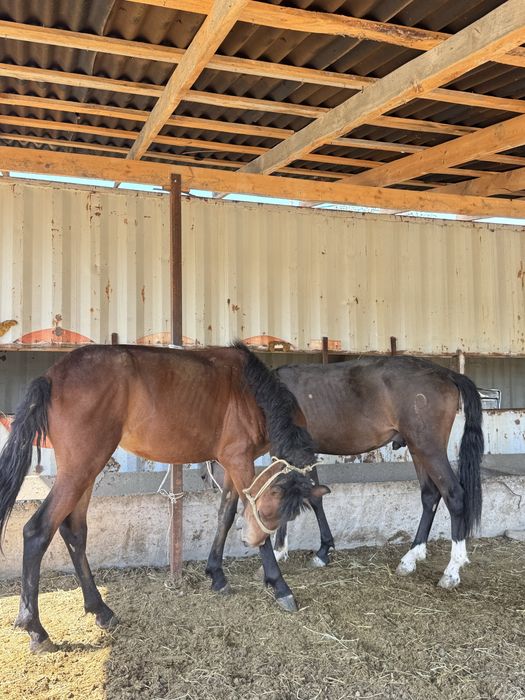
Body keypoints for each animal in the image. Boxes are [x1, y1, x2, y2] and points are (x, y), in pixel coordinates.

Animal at [0, 342, 327, 653]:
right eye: (271, 511)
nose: (248, 540)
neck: (250, 389)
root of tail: (52, 376)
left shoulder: (231, 463)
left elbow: (225, 514)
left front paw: (217, 574)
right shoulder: (239, 460)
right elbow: (247, 512)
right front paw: (280, 586)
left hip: (86, 470)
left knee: (74, 531)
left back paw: (100, 609)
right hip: (81, 468)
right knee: (38, 530)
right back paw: (35, 628)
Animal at [208, 355, 484, 590]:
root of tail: (446, 373)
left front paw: (282, 551)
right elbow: (312, 498)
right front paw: (320, 551)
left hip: (428, 448)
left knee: (454, 495)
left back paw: (452, 570)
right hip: (417, 449)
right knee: (430, 495)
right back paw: (411, 557)